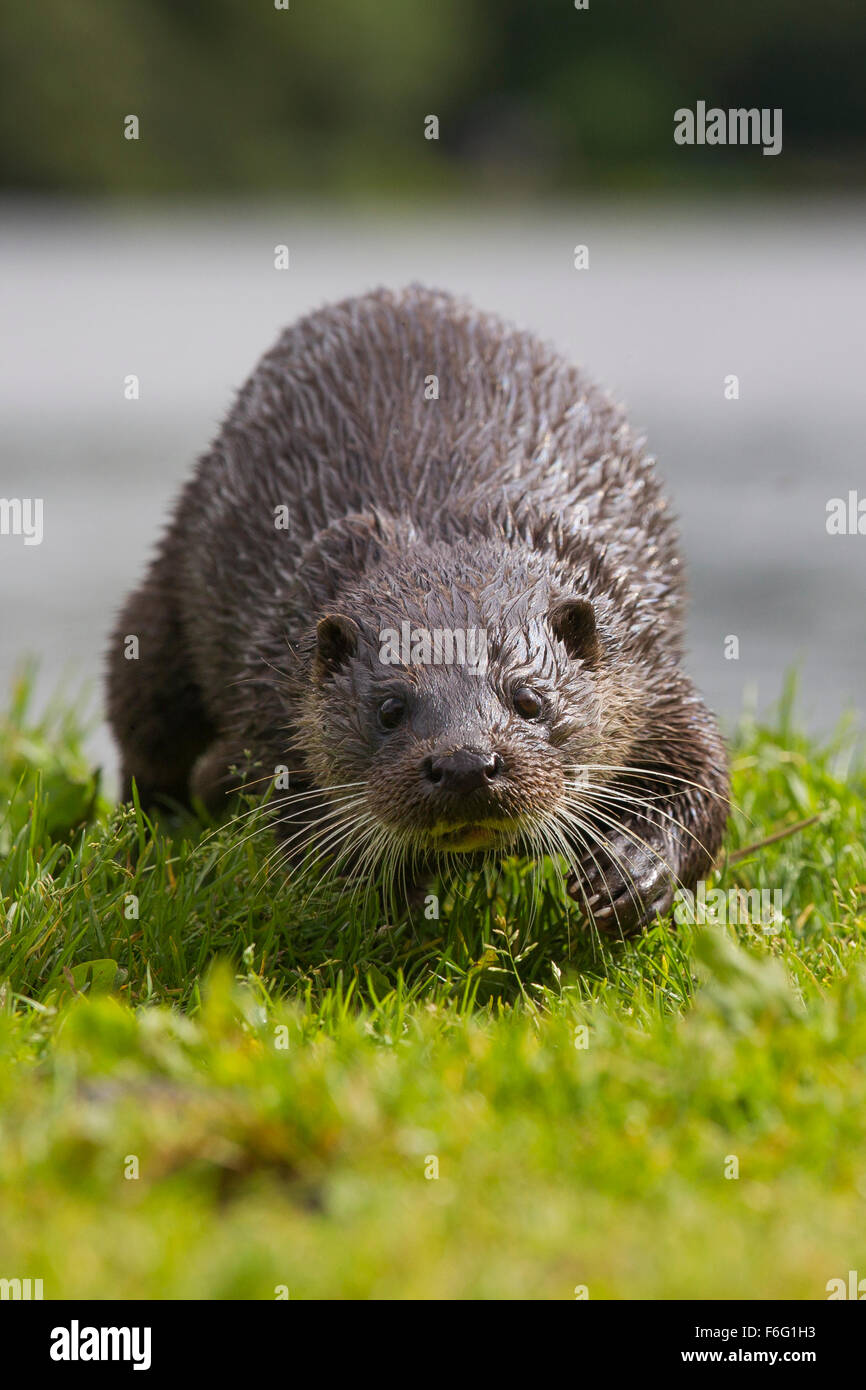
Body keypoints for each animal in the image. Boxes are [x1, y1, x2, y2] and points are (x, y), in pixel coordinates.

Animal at [108, 284, 733, 934]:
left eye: (529, 701)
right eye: (390, 710)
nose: (465, 764)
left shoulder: (644, 663)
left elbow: (700, 773)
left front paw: (632, 870)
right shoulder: (272, 699)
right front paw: (386, 908)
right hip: (162, 612)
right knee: (147, 731)